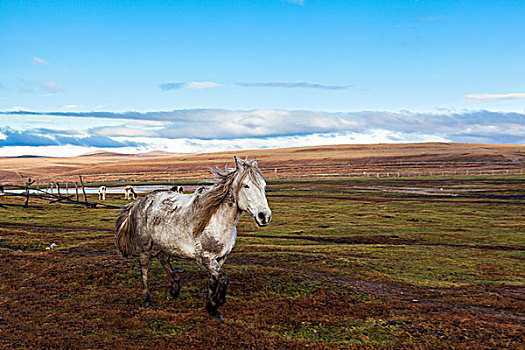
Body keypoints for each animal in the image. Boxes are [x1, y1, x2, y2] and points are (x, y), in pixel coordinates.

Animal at [114, 157, 270, 318]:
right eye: (246, 185)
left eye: (264, 186)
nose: (264, 216)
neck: (218, 222)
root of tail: (141, 201)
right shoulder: (205, 258)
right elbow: (224, 279)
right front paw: (215, 303)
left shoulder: (220, 258)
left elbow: (213, 281)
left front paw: (211, 308)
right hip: (146, 245)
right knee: (145, 267)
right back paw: (147, 300)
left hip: (169, 243)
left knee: (163, 257)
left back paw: (175, 288)